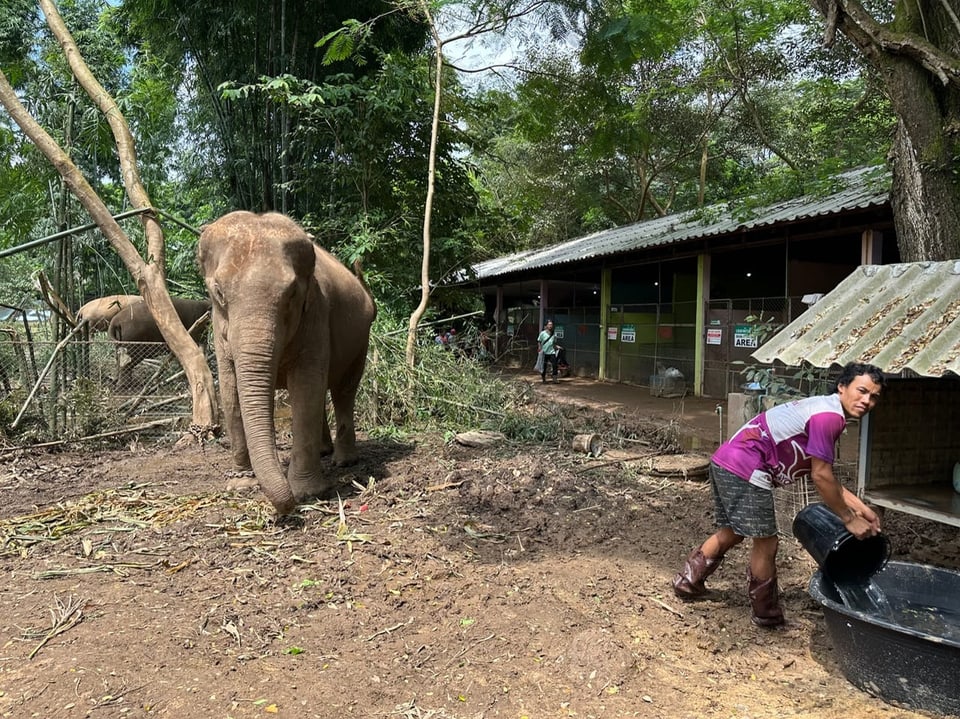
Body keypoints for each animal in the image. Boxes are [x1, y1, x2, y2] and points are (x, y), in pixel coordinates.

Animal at [197, 211, 376, 516]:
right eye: (218, 292)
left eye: (292, 292)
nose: (286, 507)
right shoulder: (219, 329)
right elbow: (231, 391)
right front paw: (241, 485)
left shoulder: (316, 313)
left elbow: (305, 388)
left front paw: (306, 492)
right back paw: (323, 452)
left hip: (360, 341)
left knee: (343, 391)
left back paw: (344, 461)